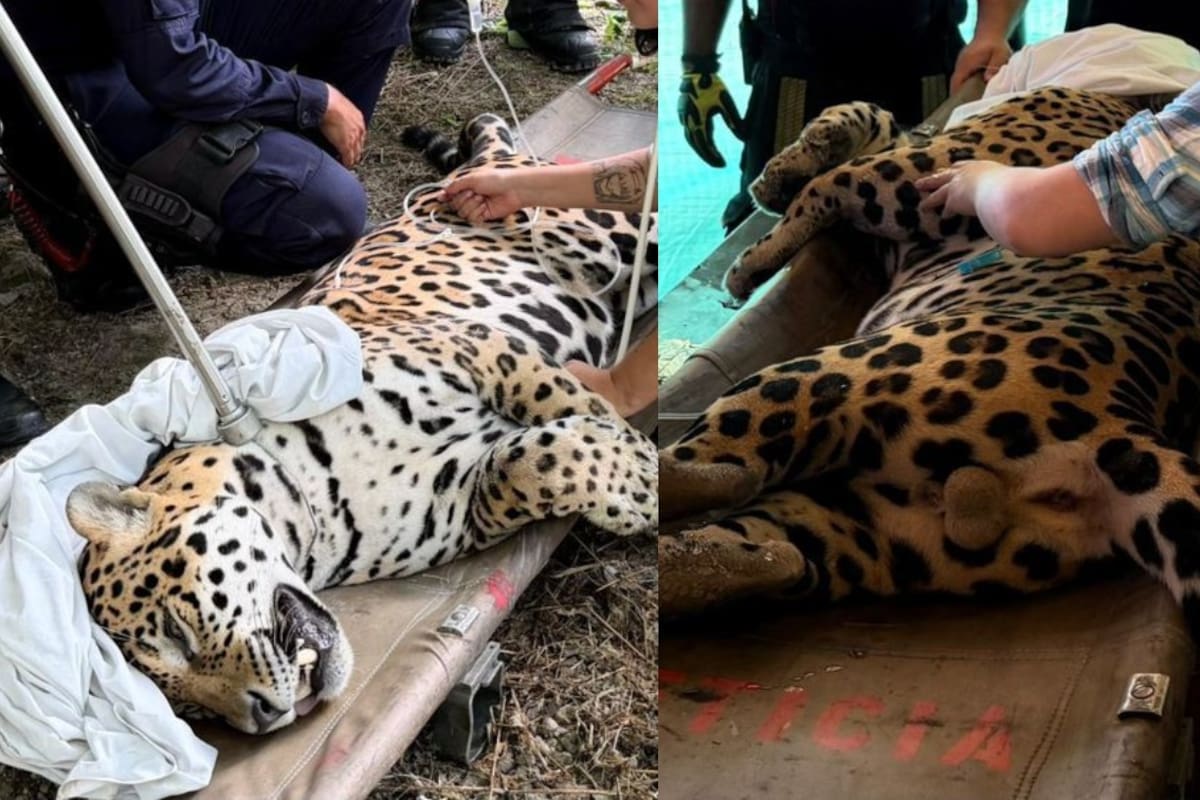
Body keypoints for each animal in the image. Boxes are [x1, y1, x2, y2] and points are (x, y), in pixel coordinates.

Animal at [66, 114, 659, 734]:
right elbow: (525, 466)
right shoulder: (462, 502)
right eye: (189, 712)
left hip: (612, 226)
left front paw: (640, 466)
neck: (315, 505)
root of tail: (487, 164)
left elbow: (571, 403)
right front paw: (628, 474)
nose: (262, 719)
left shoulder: (481, 349)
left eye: (176, 633)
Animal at [659, 87, 1200, 626]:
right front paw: (800, 160)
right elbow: (868, 122)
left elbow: (831, 178)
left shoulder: (919, 170)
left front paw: (754, 250)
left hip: (821, 378)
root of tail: (1121, 419)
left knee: (726, 472)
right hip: (870, 530)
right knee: (770, 557)